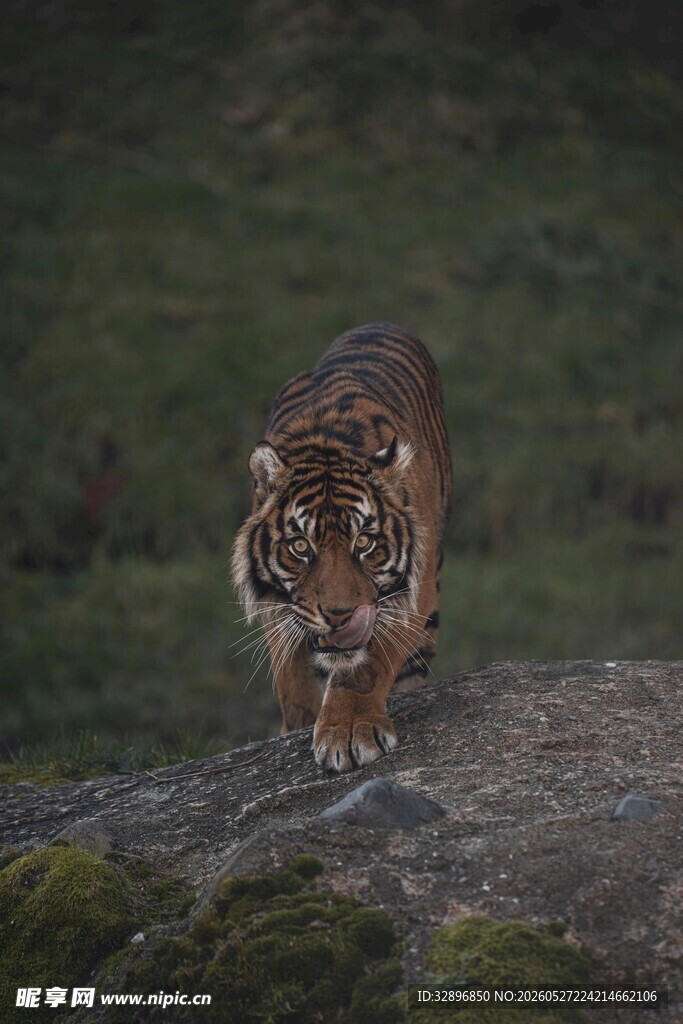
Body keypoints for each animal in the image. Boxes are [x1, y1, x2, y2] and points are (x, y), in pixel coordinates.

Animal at [231, 322, 452, 772]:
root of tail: (379, 322)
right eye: (300, 546)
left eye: (364, 541)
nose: (339, 615)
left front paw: (349, 732)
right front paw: (299, 725)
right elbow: (292, 680)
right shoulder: (278, 608)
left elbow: (363, 667)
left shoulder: (410, 597)